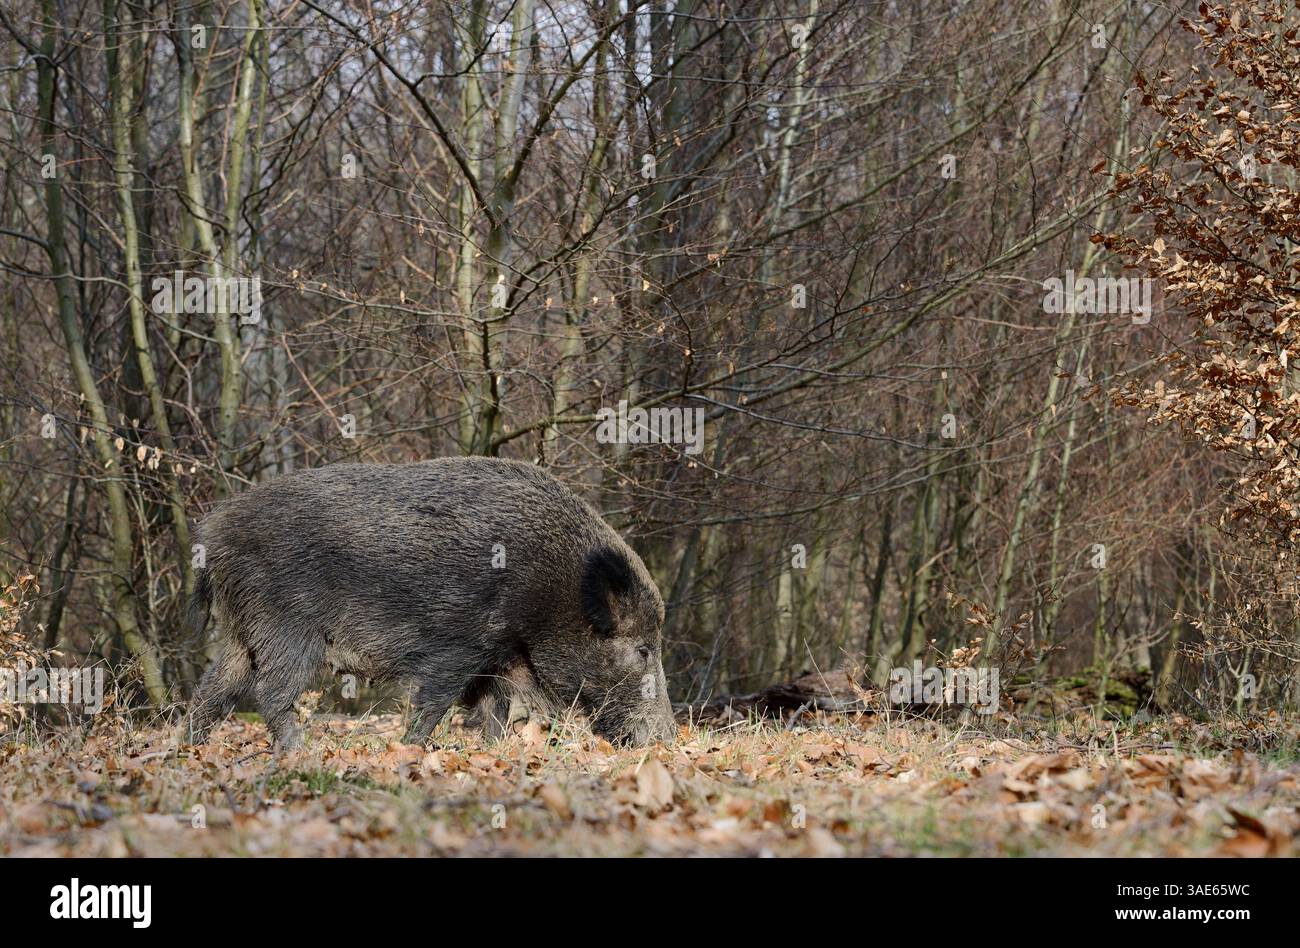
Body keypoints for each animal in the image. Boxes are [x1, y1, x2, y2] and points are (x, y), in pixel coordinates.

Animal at [186, 457, 675, 750]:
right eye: (643, 649)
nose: (667, 738)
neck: (550, 590)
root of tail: (214, 530)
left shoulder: (493, 660)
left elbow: (493, 713)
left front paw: (495, 754)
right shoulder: (458, 645)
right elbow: (434, 704)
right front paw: (410, 751)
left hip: (242, 630)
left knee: (214, 689)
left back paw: (186, 745)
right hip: (286, 626)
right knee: (269, 693)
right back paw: (299, 752)